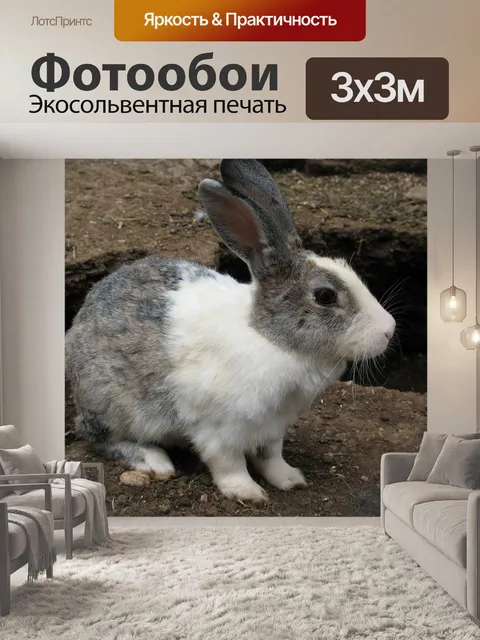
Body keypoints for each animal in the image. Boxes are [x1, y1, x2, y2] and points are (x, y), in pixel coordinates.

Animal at [65, 159, 395, 503]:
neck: (272, 339)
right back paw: (155, 461)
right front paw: (247, 492)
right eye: (325, 296)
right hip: (112, 406)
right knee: (97, 436)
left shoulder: (272, 427)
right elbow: (229, 463)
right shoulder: (219, 429)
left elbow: (270, 457)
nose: (389, 330)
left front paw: (290, 479)